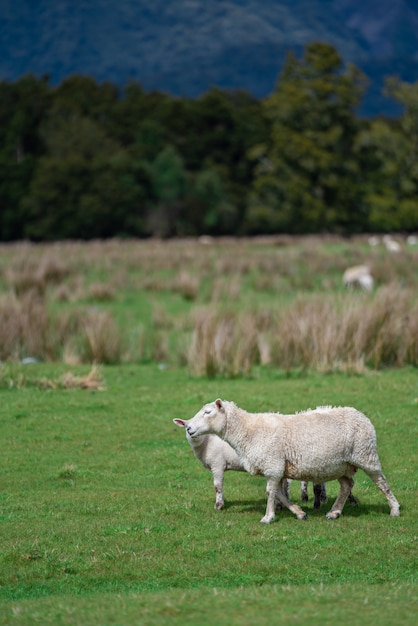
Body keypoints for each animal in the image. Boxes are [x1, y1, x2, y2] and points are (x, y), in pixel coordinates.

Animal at [181, 400, 400, 520]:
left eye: (208, 412)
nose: (189, 429)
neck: (248, 430)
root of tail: (361, 415)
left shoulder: (273, 465)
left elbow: (271, 492)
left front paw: (268, 517)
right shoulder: (276, 468)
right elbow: (279, 494)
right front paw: (299, 513)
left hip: (366, 455)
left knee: (382, 483)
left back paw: (395, 509)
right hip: (342, 465)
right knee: (347, 486)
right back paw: (335, 512)